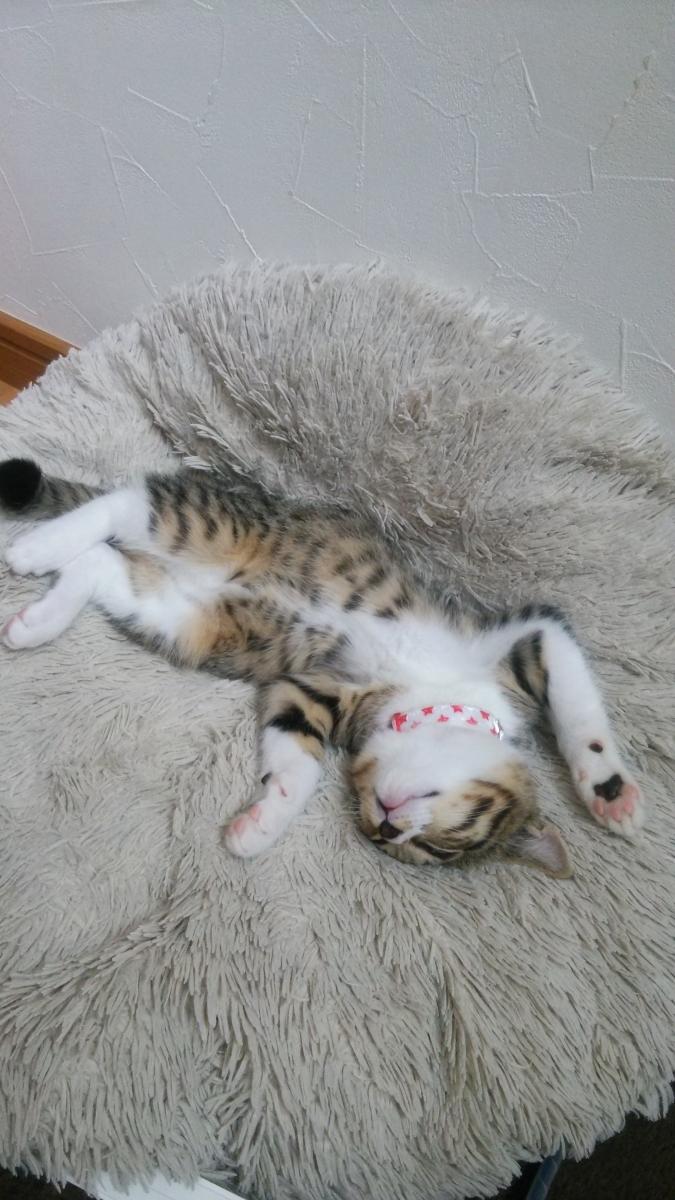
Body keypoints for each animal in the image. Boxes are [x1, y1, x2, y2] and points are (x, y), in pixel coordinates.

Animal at [0, 457, 644, 874]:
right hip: (225, 525)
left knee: (102, 563)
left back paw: (37, 621)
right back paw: (32, 547)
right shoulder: (522, 632)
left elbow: (297, 756)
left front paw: (261, 824)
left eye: (421, 852)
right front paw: (607, 787)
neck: (432, 693)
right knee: (129, 500)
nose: (388, 826)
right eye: (452, 839)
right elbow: (577, 698)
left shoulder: (309, 689)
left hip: (186, 618)